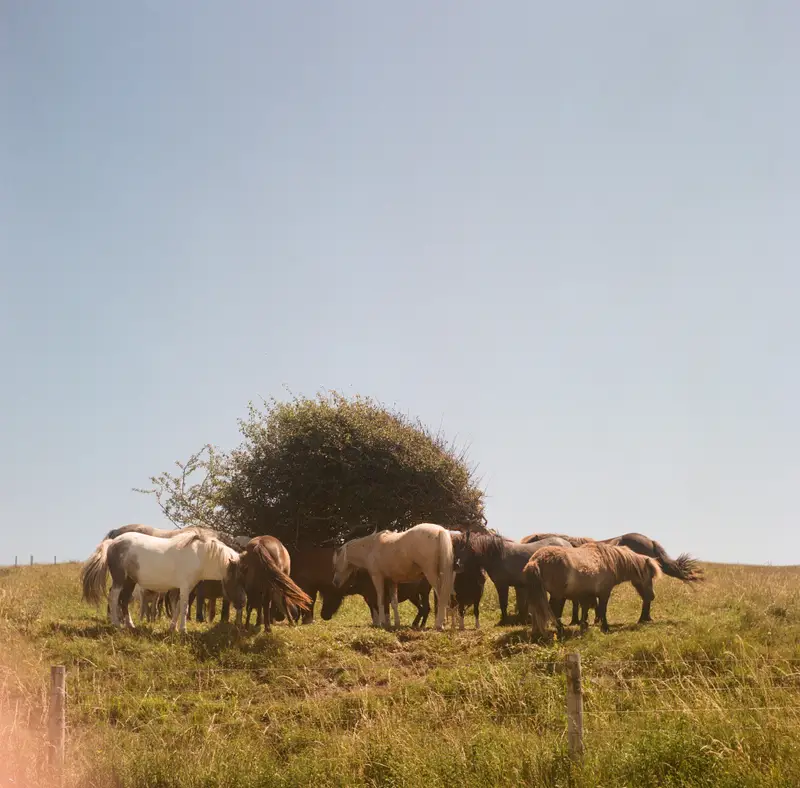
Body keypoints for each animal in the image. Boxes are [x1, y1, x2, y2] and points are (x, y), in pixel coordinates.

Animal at [81, 530, 246, 632]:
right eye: (237, 578)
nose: (243, 602)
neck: (200, 555)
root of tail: (113, 542)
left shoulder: (182, 589)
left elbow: (177, 607)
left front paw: (173, 628)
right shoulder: (185, 587)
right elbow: (184, 608)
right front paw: (183, 630)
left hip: (130, 582)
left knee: (124, 600)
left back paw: (130, 625)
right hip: (120, 580)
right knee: (114, 598)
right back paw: (117, 624)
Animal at [524, 542, 663, 638]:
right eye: (650, 575)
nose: (652, 596)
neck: (608, 560)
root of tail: (536, 560)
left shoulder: (586, 595)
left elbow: (586, 610)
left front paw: (585, 626)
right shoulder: (604, 593)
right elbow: (602, 609)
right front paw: (605, 628)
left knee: (536, 610)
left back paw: (537, 632)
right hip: (557, 595)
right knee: (553, 611)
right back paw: (560, 630)